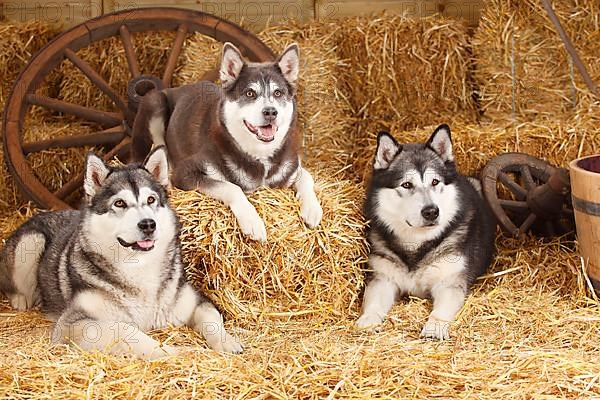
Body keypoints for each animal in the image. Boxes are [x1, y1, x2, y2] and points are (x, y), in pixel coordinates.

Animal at [1, 147, 244, 360]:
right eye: (119, 203)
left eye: (151, 200)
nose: (148, 224)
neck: (139, 268)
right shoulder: (73, 323)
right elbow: (126, 330)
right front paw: (170, 351)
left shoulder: (194, 301)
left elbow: (213, 318)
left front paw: (227, 342)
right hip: (31, 241)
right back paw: (21, 299)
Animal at [129, 41, 322, 241]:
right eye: (250, 93)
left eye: (278, 93)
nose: (270, 112)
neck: (259, 154)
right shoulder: (186, 173)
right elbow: (232, 188)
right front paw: (252, 220)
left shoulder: (291, 167)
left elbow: (307, 176)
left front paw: (312, 209)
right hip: (154, 102)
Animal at [358, 125, 494, 340]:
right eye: (407, 184)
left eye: (435, 182)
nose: (431, 211)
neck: (416, 243)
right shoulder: (383, 279)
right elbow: (373, 303)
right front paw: (368, 319)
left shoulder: (449, 282)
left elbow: (441, 309)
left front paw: (435, 326)